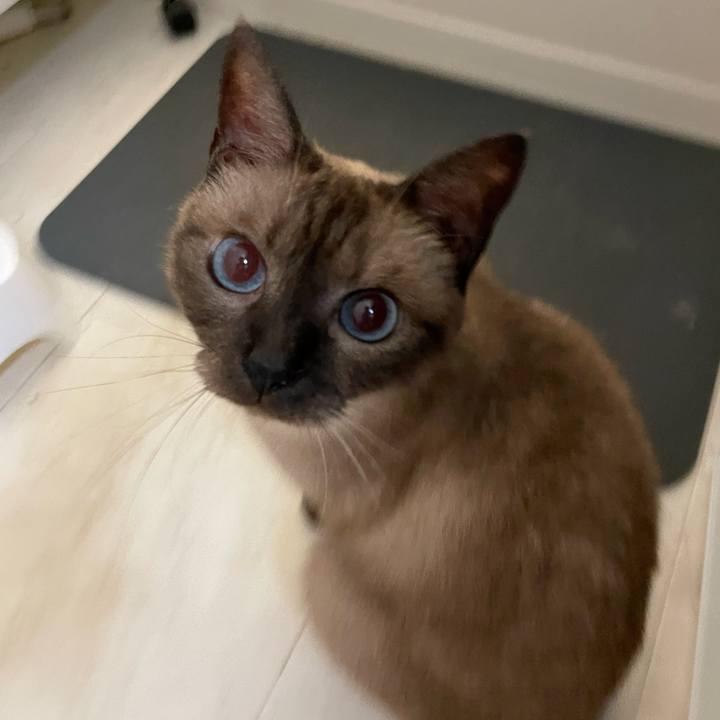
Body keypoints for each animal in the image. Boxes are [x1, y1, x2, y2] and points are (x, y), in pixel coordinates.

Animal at [166, 24, 659, 720]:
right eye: (239, 265)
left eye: (369, 316)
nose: (267, 370)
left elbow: (324, 509)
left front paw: (310, 513)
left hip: (322, 583)